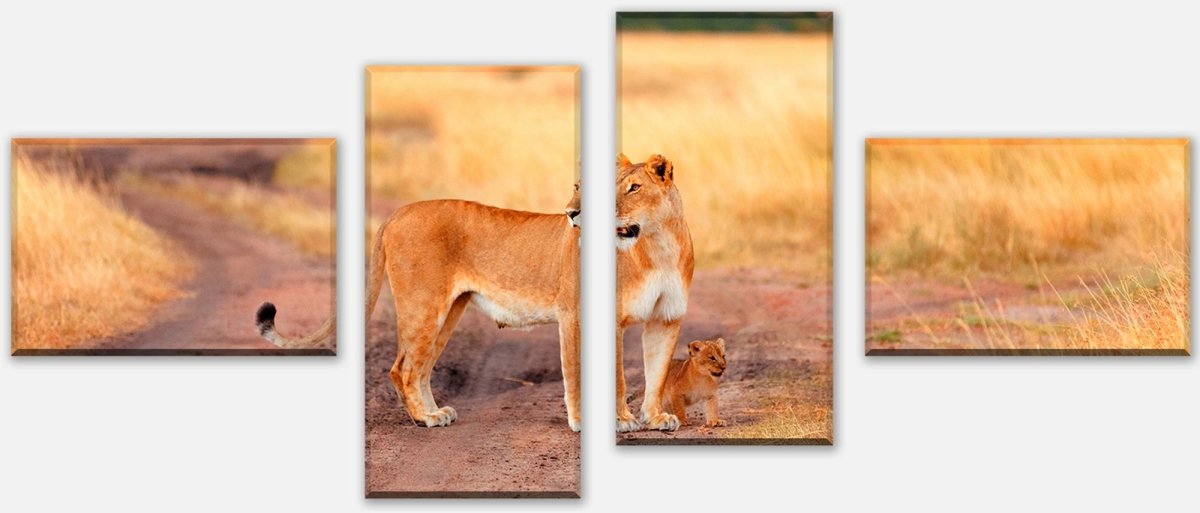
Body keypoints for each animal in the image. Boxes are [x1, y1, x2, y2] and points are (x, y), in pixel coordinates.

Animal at [256, 183, 582, 431]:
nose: (571, 213)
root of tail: (398, 213)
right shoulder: (571, 315)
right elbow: (574, 372)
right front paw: (579, 424)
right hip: (424, 306)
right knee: (405, 369)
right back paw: (425, 418)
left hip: (448, 311)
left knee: (419, 368)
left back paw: (433, 413)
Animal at [616, 153, 695, 432]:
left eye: (635, 188)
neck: (661, 246)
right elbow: (618, 377)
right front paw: (622, 419)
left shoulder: (666, 317)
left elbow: (658, 372)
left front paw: (655, 417)